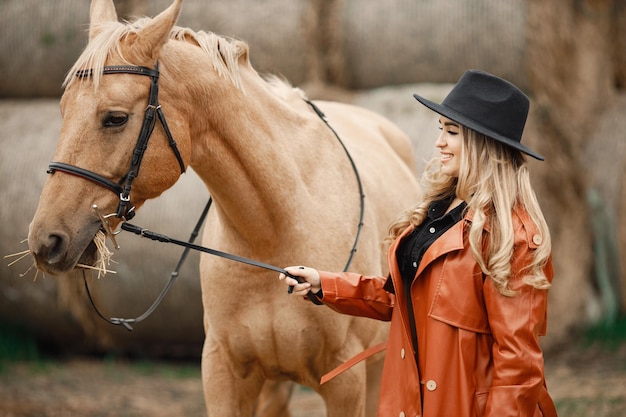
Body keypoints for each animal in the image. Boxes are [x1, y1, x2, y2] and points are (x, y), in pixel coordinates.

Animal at [28, 1, 420, 414]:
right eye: (63, 110)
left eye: (115, 118)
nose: (46, 240)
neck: (274, 230)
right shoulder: (224, 374)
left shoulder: (346, 384)